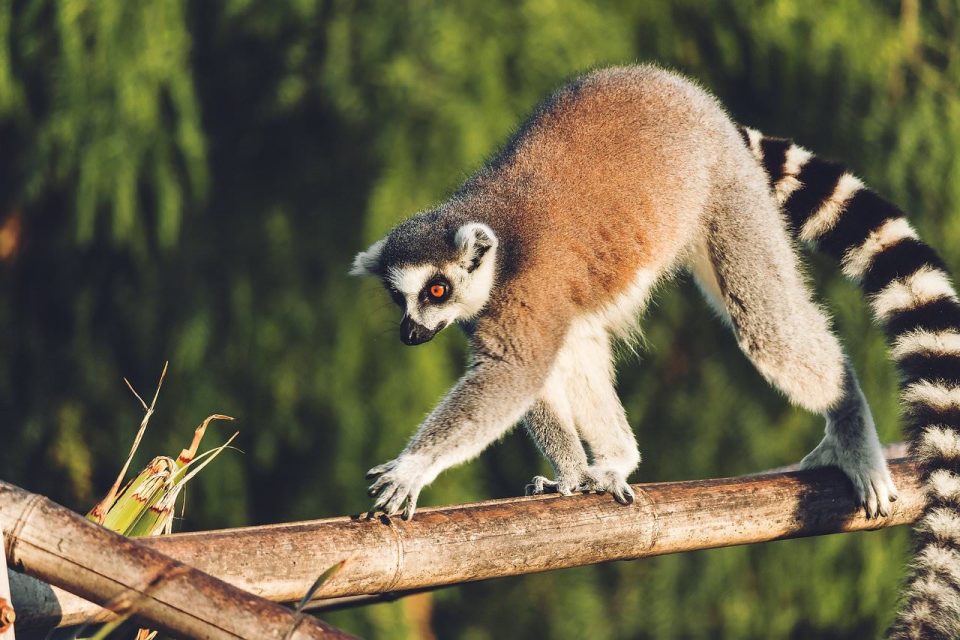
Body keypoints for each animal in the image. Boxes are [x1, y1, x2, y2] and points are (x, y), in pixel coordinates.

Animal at [350, 64, 960, 638]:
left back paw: (849, 425)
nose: (410, 334)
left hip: (727, 189)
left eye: (435, 290)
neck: (500, 254)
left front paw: (413, 467)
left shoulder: (531, 290)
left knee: (766, 325)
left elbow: (515, 374)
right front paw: (569, 476)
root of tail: (686, 92)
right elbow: (538, 375)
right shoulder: (513, 310)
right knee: (585, 344)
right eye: (399, 298)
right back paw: (617, 459)